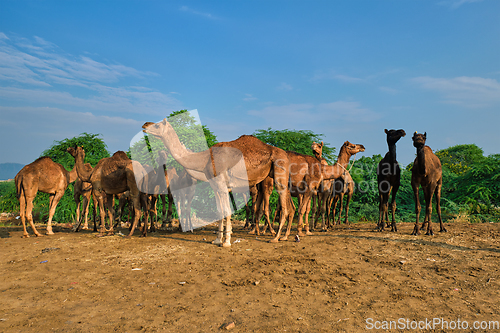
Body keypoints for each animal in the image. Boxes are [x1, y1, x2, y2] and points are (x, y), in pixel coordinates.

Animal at [141, 119, 292, 246]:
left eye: (157, 125)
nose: (144, 125)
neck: (204, 159)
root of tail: (285, 154)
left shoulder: (222, 184)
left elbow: (227, 211)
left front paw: (226, 242)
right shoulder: (215, 185)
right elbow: (220, 211)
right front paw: (217, 240)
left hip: (280, 170)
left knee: (284, 207)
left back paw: (276, 237)